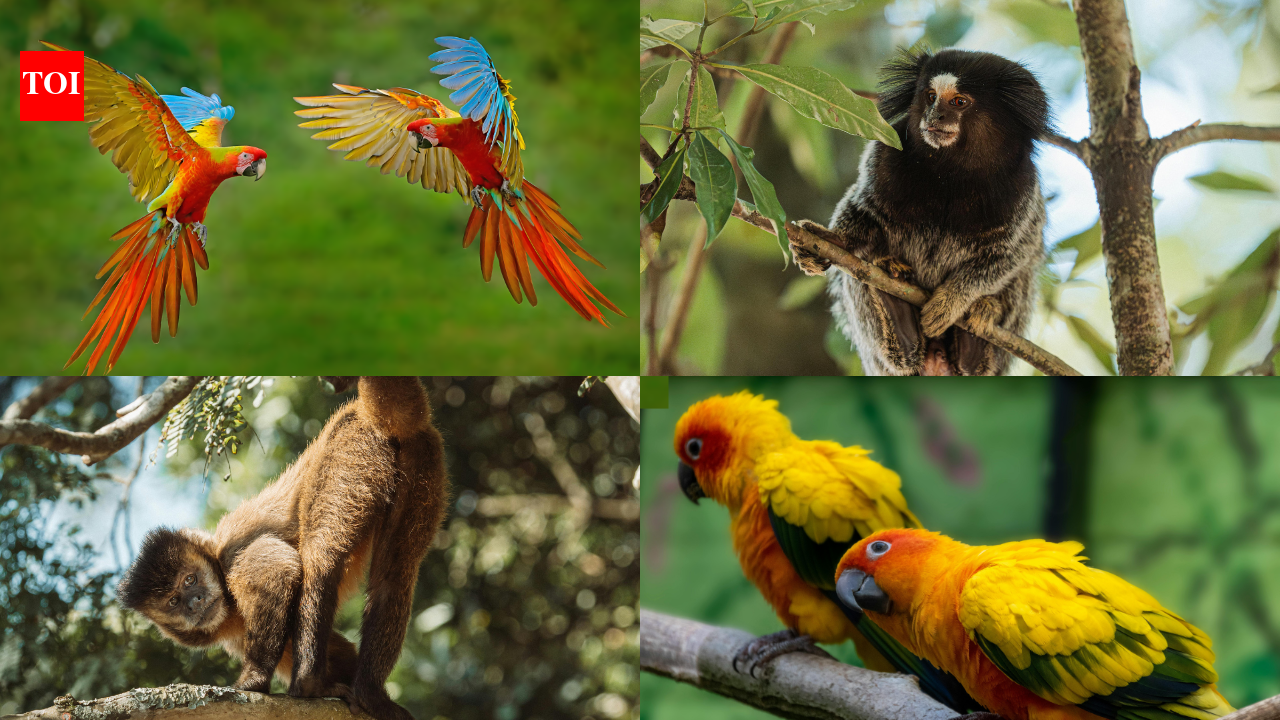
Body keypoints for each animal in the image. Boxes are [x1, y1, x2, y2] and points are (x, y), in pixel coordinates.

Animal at [117, 376, 449, 720]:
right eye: (173, 601)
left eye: (190, 579)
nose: (194, 602)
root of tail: (363, 412)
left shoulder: (233, 554)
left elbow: (280, 572)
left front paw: (255, 679)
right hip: (422, 455)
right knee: (395, 575)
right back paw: (371, 694)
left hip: (349, 444)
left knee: (322, 559)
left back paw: (309, 684)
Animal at [792, 48, 1050, 375]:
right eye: (930, 97)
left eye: (958, 102)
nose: (934, 116)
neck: (951, 171)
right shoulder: (884, 154)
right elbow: (863, 212)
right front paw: (830, 240)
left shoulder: (1024, 190)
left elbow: (1012, 254)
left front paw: (951, 302)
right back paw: (898, 316)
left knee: (1024, 272)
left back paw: (974, 342)